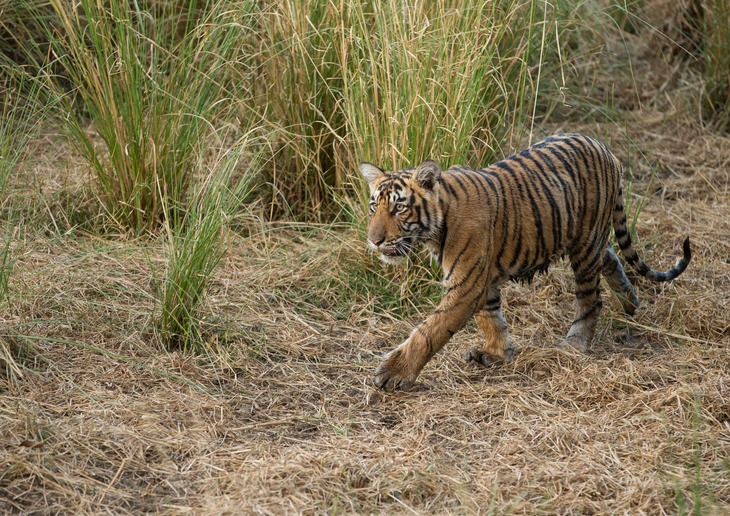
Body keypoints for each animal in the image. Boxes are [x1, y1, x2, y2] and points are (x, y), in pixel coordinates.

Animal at [362, 133, 692, 392]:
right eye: (374, 207)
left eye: (399, 208)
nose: (374, 240)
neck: (436, 225)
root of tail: (603, 146)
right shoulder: (482, 278)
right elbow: (490, 316)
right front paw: (497, 353)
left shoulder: (466, 284)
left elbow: (429, 331)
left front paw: (393, 373)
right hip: (589, 238)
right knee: (610, 256)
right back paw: (630, 303)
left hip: (586, 242)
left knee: (590, 298)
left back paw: (577, 342)